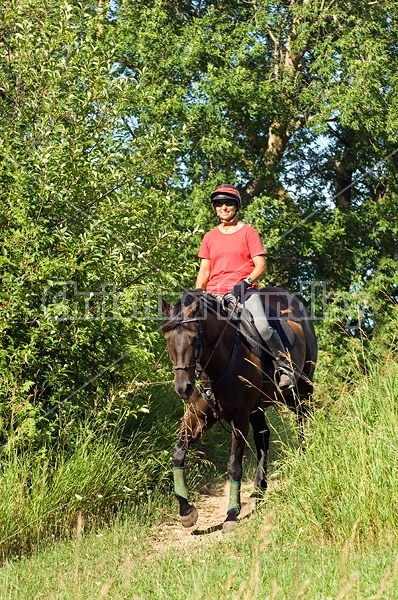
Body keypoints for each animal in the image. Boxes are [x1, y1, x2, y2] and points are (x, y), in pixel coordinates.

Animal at [162, 288, 318, 532]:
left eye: (195, 338)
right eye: (168, 339)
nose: (183, 387)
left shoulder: (239, 417)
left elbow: (234, 465)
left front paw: (232, 514)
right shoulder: (200, 416)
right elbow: (178, 453)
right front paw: (186, 511)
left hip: (301, 390)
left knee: (304, 420)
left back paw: (304, 456)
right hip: (259, 407)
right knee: (263, 437)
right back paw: (258, 491)